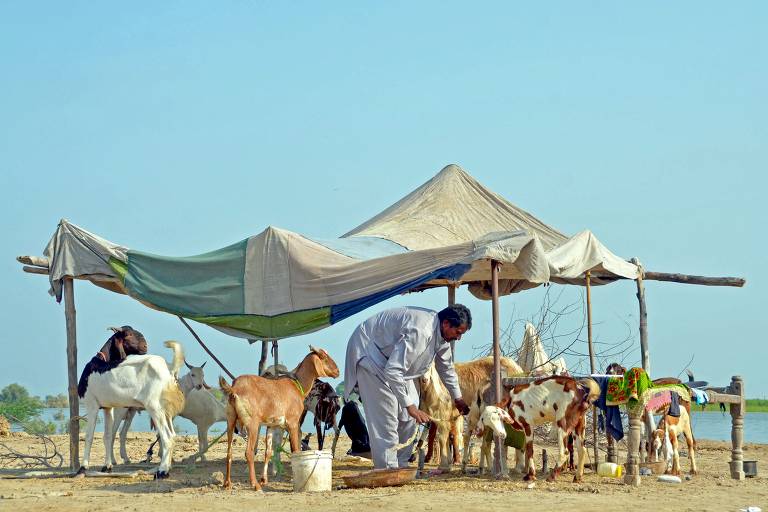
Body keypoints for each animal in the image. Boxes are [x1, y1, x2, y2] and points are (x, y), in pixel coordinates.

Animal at [219, 346, 340, 490]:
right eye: (324, 357)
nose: (337, 371)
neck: (297, 385)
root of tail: (234, 389)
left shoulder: (272, 425)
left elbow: (268, 452)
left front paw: (264, 480)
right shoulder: (293, 423)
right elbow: (295, 450)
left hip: (230, 421)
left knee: (229, 452)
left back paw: (227, 483)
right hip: (252, 424)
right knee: (248, 452)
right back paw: (255, 485)